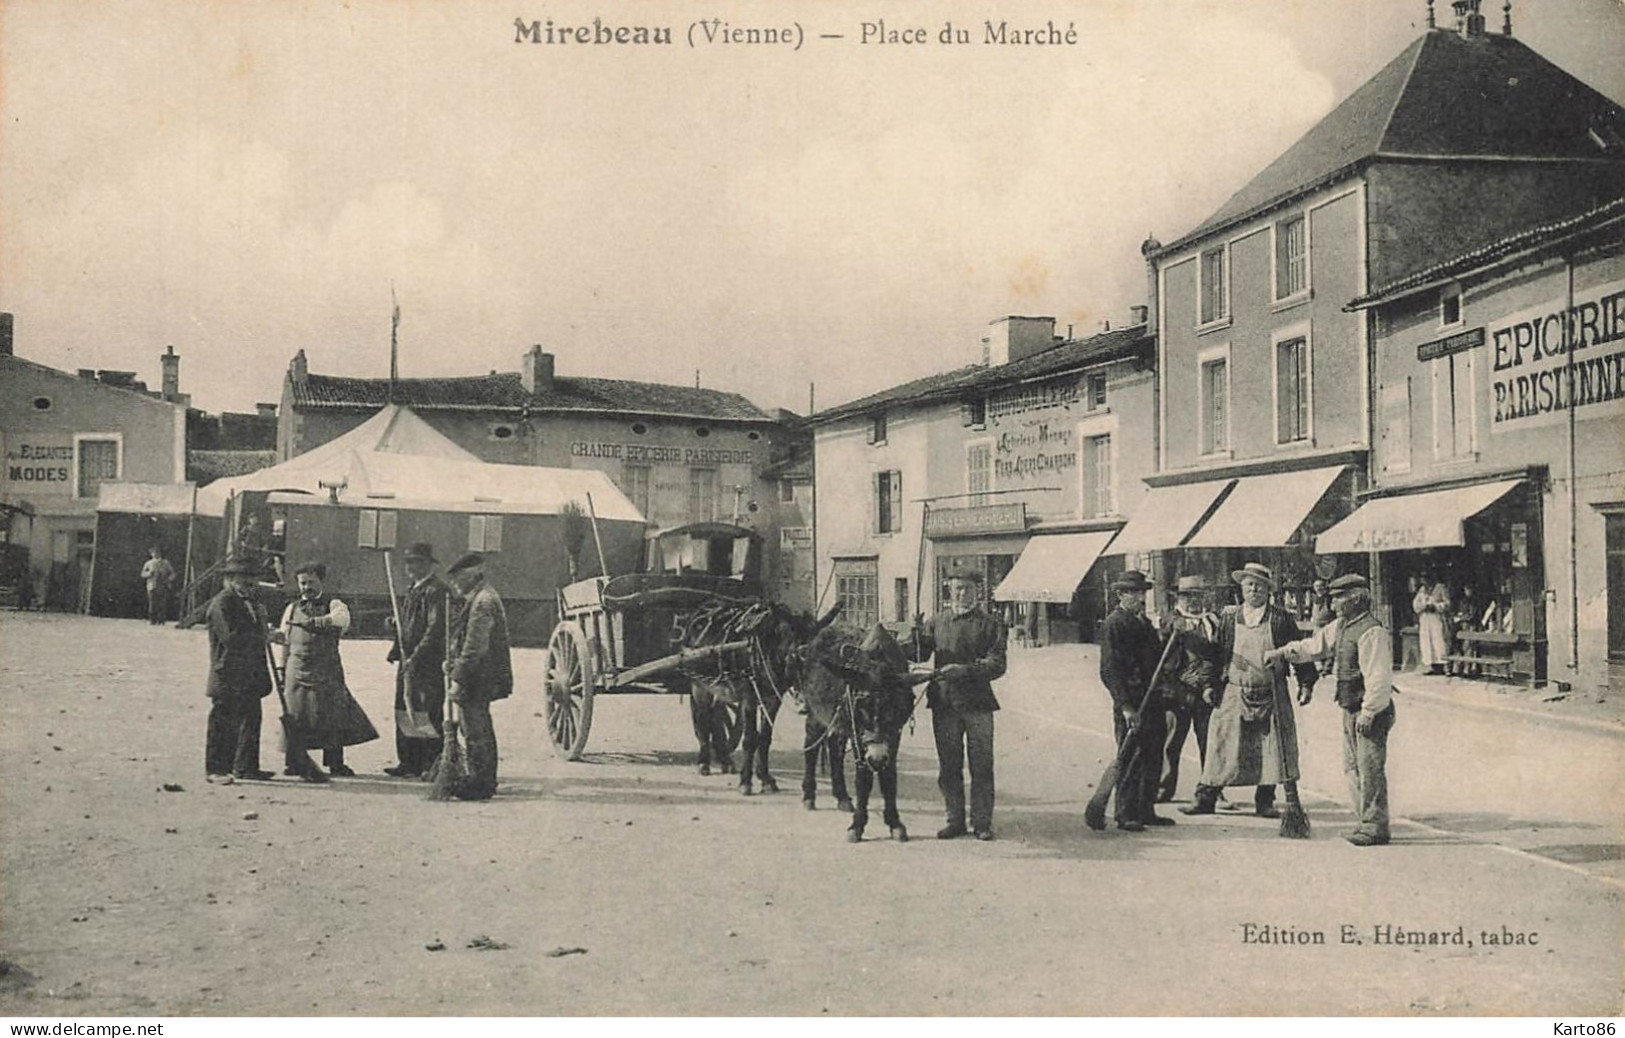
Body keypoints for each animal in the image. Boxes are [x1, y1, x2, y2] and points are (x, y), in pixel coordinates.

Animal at [796, 620, 923, 838]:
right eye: (861, 707)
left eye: (895, 708)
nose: (877, 759)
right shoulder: (858, 732)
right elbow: (863, 778)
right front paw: (857, 826)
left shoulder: (894, 735)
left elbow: (889, 777)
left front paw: (895, 823)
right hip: (817, 713)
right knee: (811, 747)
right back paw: (809, 795)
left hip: (839, 720)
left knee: (835, 751)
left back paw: (842, 798)